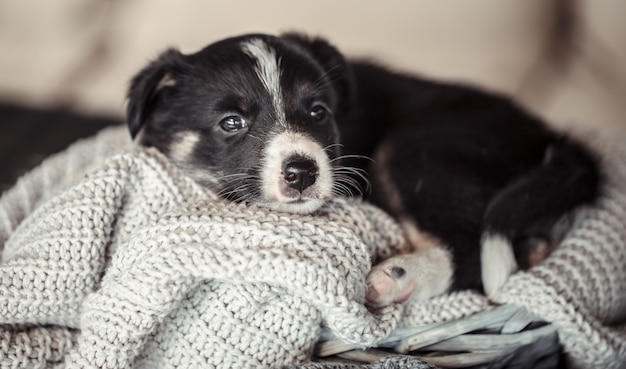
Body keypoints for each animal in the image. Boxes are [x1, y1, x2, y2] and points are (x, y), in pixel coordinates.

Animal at [124, 33, 596, 304]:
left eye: (318, 111)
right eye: (231, 122)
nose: (302, 172)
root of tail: (548, 134)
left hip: (417, 146)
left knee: (469, 248)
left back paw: (396, 277)